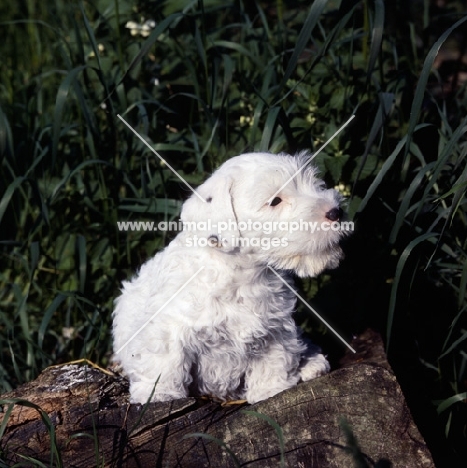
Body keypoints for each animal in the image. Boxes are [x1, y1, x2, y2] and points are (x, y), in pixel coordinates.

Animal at [112, 152, 348, 404]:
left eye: (314, 184)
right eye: (275, 201)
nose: (336, 212)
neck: (241, 275)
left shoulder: (274, 329)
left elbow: (274, 359)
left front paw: (271, 390)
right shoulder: (168, 328)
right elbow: (166, 362)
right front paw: (158, 395)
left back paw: (311, 363)